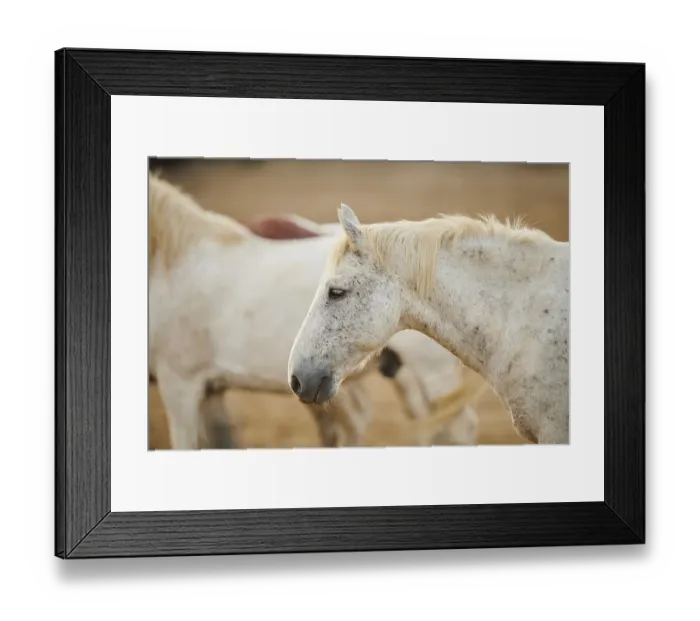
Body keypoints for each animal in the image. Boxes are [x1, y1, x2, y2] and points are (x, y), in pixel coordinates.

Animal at [148, 175, 481, 449]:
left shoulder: (180, 383)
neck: (171, 264)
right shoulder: (211, 389)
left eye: (336, 292)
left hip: (432, 372)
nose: (296, 379)